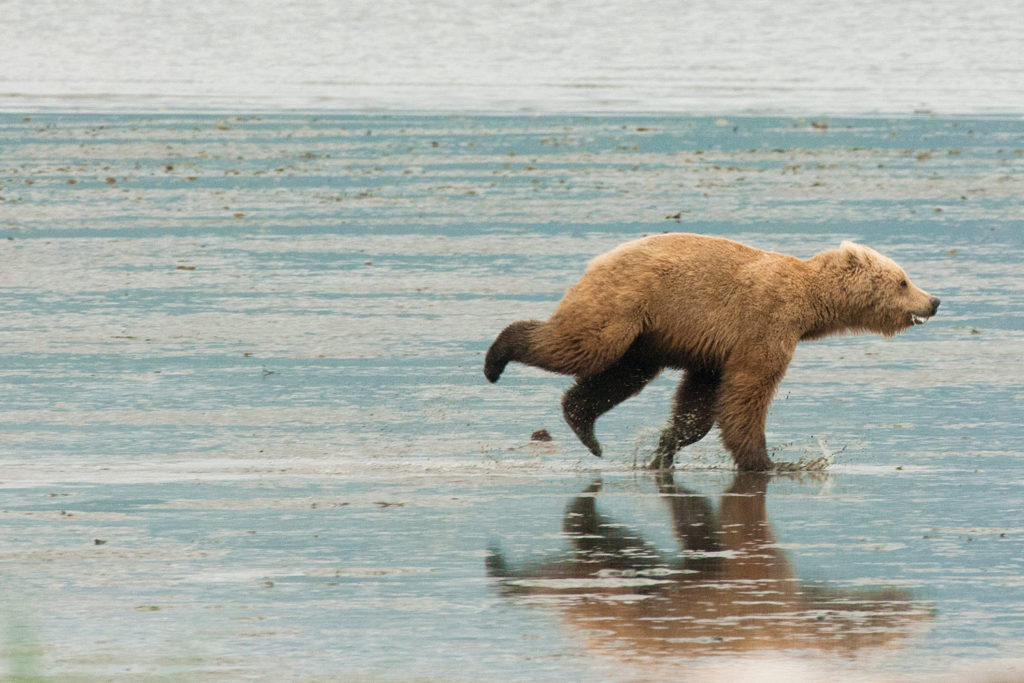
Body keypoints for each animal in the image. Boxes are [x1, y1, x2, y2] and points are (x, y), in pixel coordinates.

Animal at [483, 232, 937, 473]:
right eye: (902, 280)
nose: (934, 301)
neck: (810, 307)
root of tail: (601, 258)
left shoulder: (715, 349)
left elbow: (700, 401)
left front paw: (666, 447)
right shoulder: (765, 325)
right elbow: (748, 391)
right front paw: (766, 461)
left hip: (646, 338)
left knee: (622, 375)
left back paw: (585, 428)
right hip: (625, 306)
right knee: (581, 345)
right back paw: (496, 358)